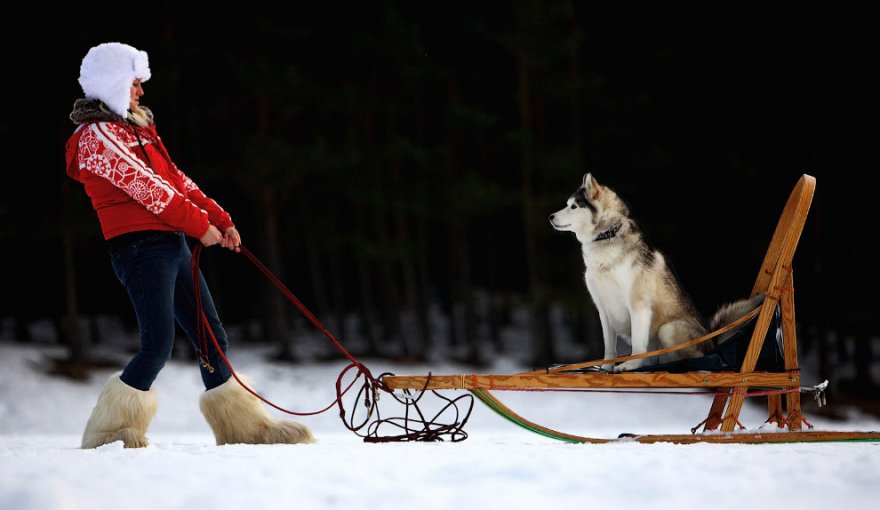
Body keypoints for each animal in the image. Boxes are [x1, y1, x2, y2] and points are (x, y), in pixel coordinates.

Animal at [552, 173, 764, 372]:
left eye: (573, 206)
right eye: (567, 205)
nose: (550, 216)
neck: (606, 237)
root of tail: (711, 342)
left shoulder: (639, 306)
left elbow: (638, 346)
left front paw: (630, 365)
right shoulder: (604, 309)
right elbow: (610, 349)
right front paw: (606, 368)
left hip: (668, 329)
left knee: (700, 358)